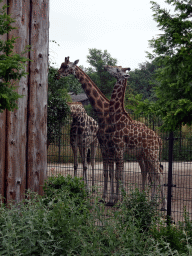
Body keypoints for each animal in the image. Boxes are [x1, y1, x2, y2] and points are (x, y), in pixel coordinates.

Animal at [103, 64, 166, 210]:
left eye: (117, 69)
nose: (106, 66)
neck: (117, 119)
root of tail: (158, 139)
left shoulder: (119, 149)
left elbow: (119, 174)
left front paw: (120, 201)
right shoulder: (116, 149)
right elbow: (117, 174)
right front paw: (116, 200)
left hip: (152, 154)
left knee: (158, 173)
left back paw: (163, 205)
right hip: (147, 155)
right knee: (153, 173)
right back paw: (152, 202)